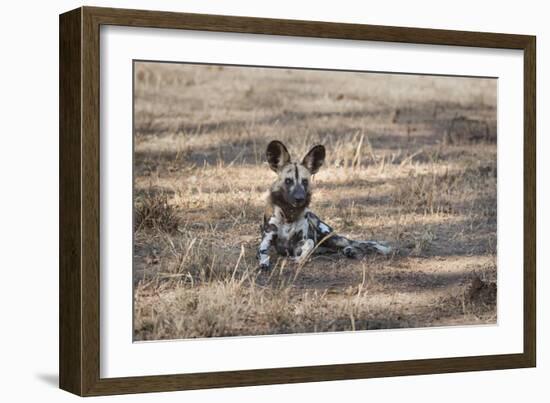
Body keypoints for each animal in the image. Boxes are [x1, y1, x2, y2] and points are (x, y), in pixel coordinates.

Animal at [258, 141, 392, 272]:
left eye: (305, 181)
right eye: (288, 181)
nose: (299, 198)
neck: (290, 214)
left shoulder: (302, 241)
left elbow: (309, 244)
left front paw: (300, 259)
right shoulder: (267, 239)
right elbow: (263, 252)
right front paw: (264, 263)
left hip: (331, 238)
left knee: (354, 243)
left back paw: (353, 250)